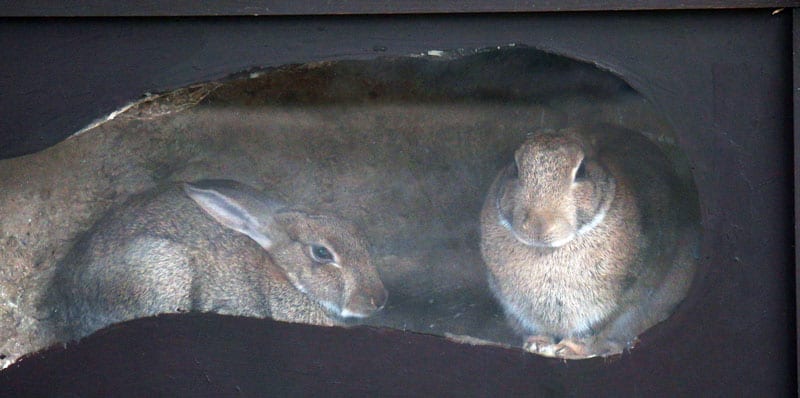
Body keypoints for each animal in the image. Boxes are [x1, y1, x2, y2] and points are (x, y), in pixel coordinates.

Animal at [482, 124, 700, 358]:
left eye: (581, 171)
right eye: (515, 168)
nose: (538, 226)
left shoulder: (614, 305)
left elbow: (590, 331)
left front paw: (567, 350)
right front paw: (537, 346)